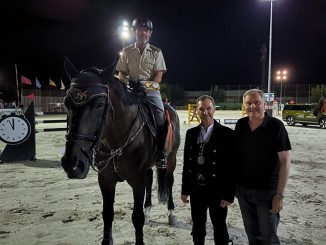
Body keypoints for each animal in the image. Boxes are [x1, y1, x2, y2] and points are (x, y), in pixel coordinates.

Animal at [60, 58, 181, 245]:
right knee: (150, 178)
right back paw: (148, 211)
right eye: (67, 102)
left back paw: (171, 214)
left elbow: (136, 217)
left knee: (168, 181)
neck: (115, 142)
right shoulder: (106, 180)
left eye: (100, 104)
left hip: (171, 158)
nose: (72, 164)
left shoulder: (137, 181)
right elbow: (107, 214)